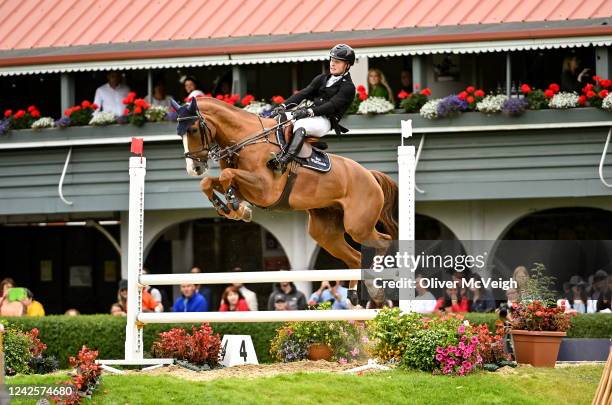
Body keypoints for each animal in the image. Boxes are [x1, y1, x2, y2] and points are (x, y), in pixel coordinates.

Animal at [175, 96, 400, 296]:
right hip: (325, 232)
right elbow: (210, 182)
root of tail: (370, 175)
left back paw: (375, 286)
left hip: (358, 226)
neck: (246, 141)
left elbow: (226, 175)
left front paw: (237, 208)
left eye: (192, 130)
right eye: (179, 134)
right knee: (355, 257)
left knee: (384, 241)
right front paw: (232, 209)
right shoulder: (246, 187)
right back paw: (357, 292)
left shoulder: (265, 189)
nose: (194, 168)